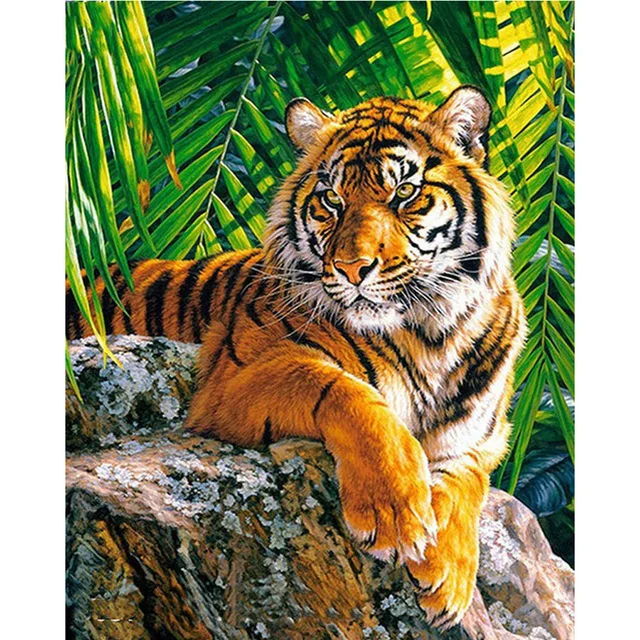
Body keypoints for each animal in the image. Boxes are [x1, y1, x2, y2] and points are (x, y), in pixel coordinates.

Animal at [66, 86, 526, 631]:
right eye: (332, 199)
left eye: (404, 194)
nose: (352, 268)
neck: (431, 332)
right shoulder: (232, 378)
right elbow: (348, 393)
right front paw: (394, 512)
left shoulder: (485, 436)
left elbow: (466, 479)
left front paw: (450, 578)